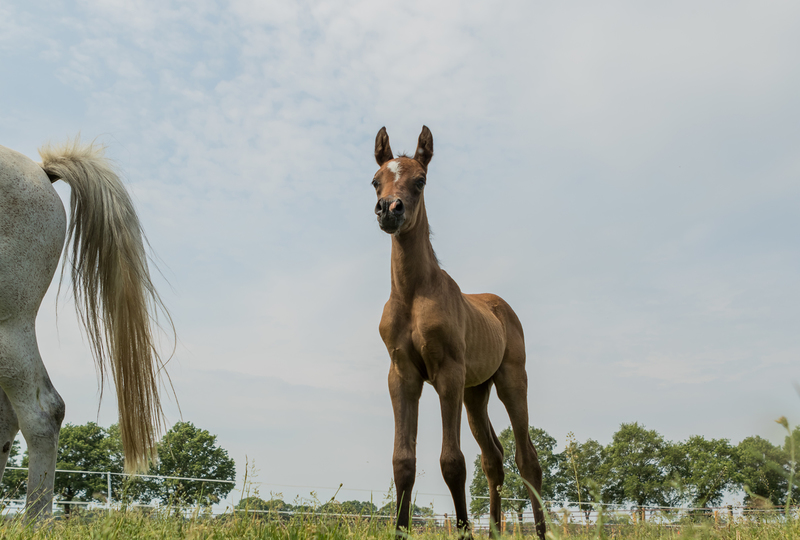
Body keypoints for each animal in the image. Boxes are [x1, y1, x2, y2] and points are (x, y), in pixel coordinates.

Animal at [371, 126, 546, 539]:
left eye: (420, 180)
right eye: (375, 181)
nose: (389, 209)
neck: (412, 294)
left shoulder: (447, 373)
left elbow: (452, 461)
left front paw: (464, 530)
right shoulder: (401, 376)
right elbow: (403, 460)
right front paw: (400, 530)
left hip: (511, 380)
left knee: (527, 459)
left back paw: (541, 531)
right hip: (475, 393)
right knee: (494, 458)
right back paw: (495, 531)